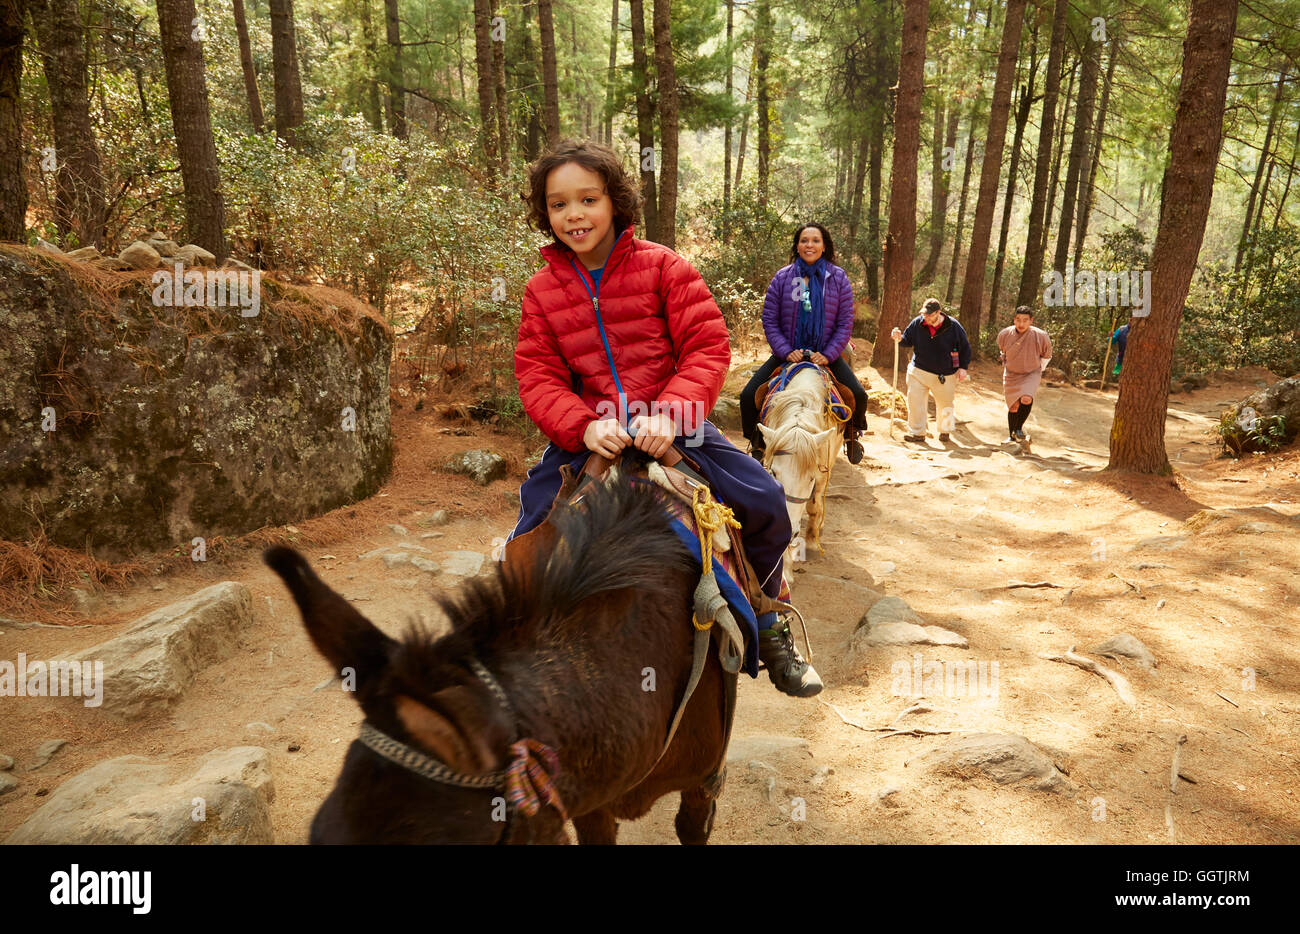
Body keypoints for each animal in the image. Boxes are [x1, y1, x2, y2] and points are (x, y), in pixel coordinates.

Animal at [754, 366, 842, 556]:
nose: (788, 532)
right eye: (773, 473)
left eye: (811, 478)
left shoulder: (821, 475)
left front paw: (811, 539)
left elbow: (814, 506)